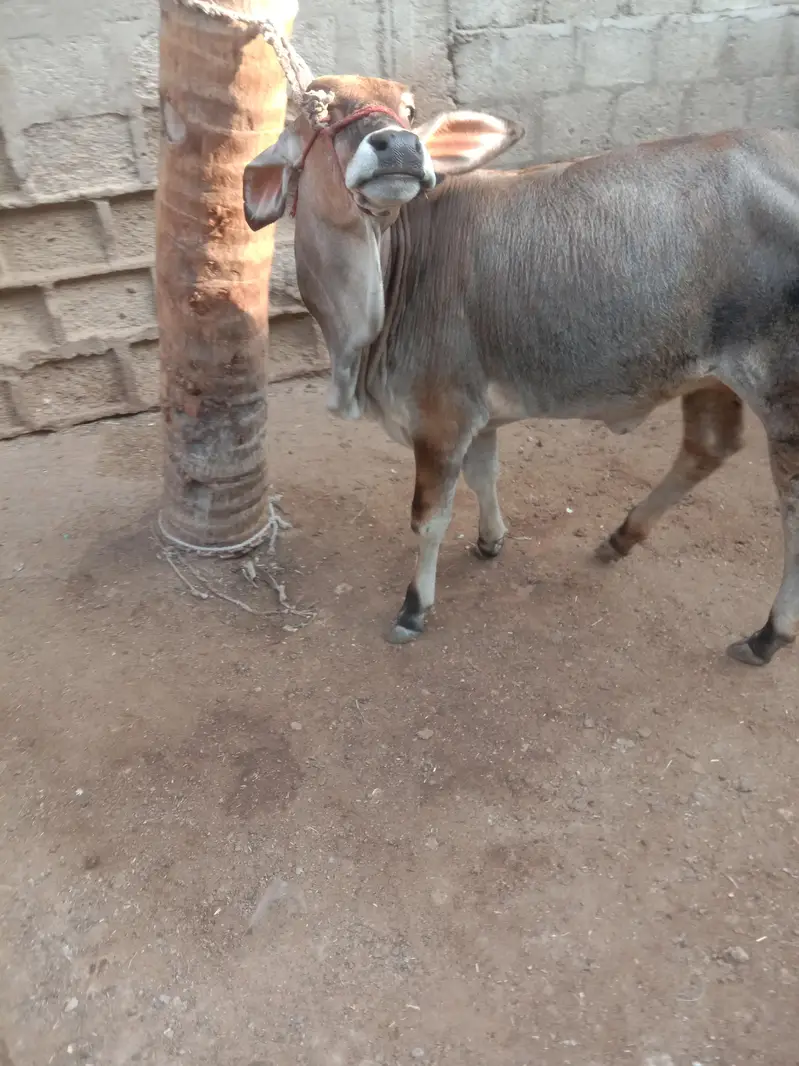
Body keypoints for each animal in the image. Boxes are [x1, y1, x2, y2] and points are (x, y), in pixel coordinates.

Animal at [243, 69, 799, 668]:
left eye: (409, 110)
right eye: (316, 109)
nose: (401, 146)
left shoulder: (440, 417)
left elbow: (429, 516)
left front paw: (414, 608)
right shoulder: (475, 411)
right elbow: (484, 474)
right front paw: (490, 541)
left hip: (782, 387)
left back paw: (768, 635)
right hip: (711, 375)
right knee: (708, 448)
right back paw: (621, 538)